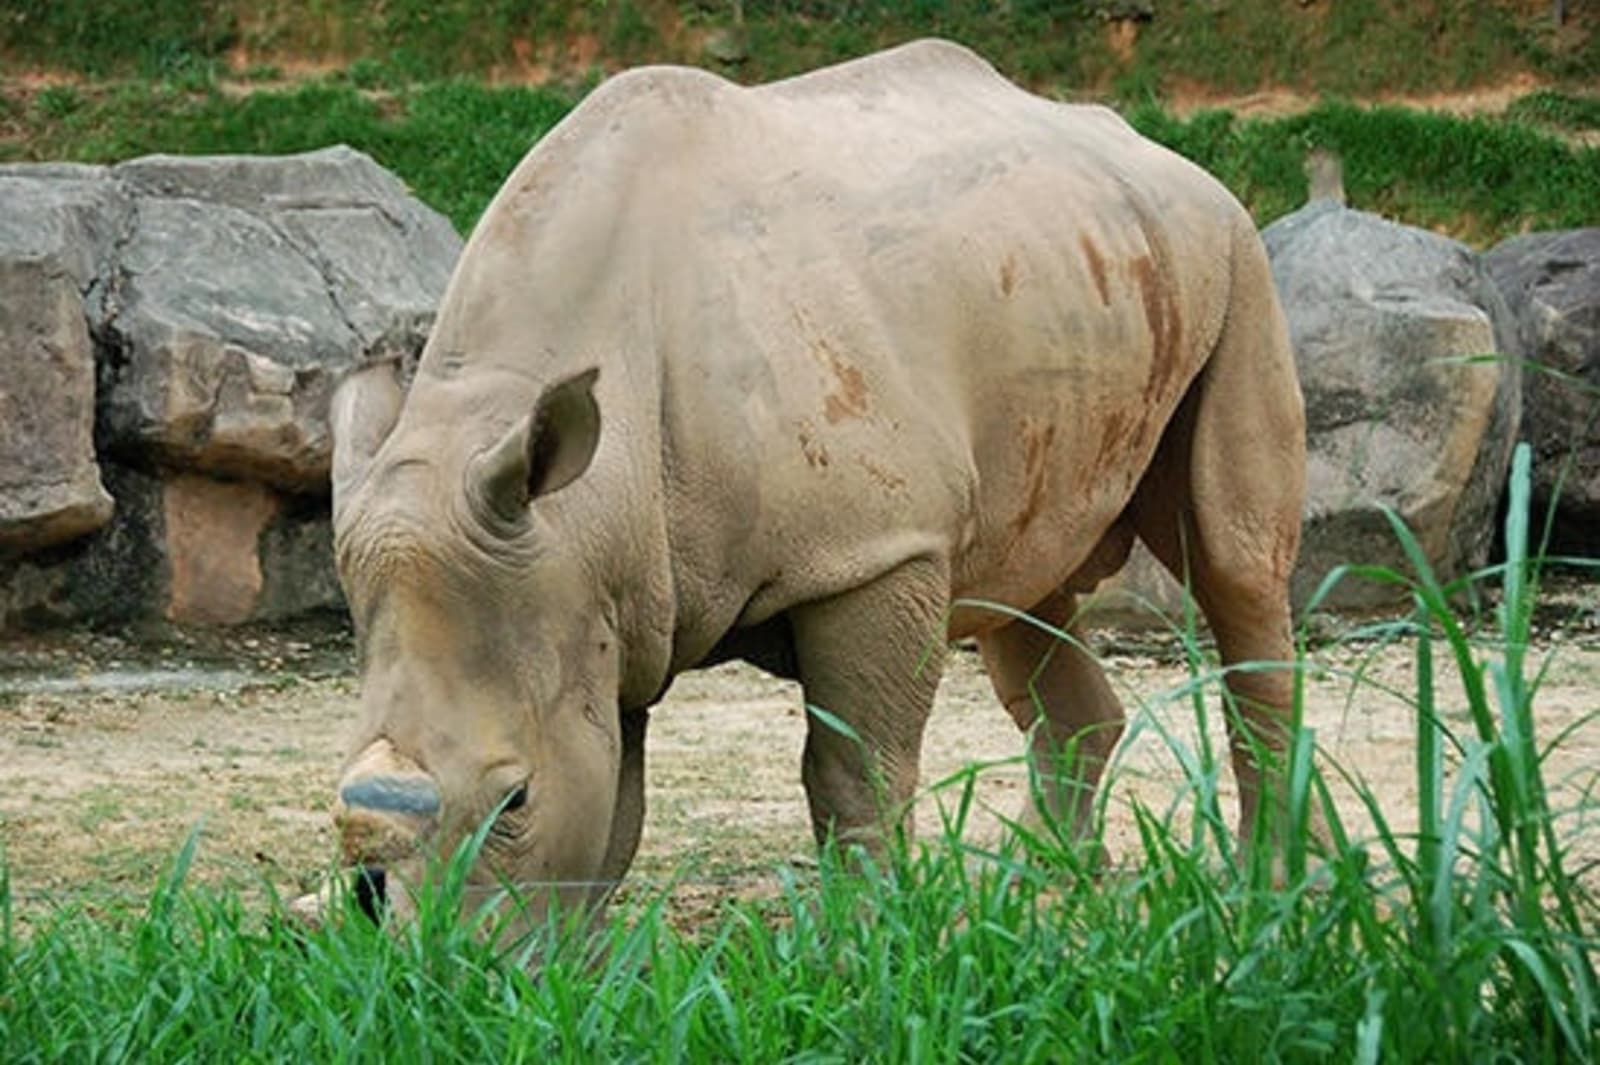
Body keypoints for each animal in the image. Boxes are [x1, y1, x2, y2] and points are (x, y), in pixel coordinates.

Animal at [319, 40, 1306, 926]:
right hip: (1082, 281)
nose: (433, 977)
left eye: (515, 800)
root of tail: (1153, 147)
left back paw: (1273, 889)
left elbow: (852, 772)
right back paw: (1032, 894)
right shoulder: (601, 595)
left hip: (1235, 257)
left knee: (1234, 565)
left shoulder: (873, 550)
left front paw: (867, 946)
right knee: (1020, 589)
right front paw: (573, 975)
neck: (584, 505)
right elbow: (615, 804)